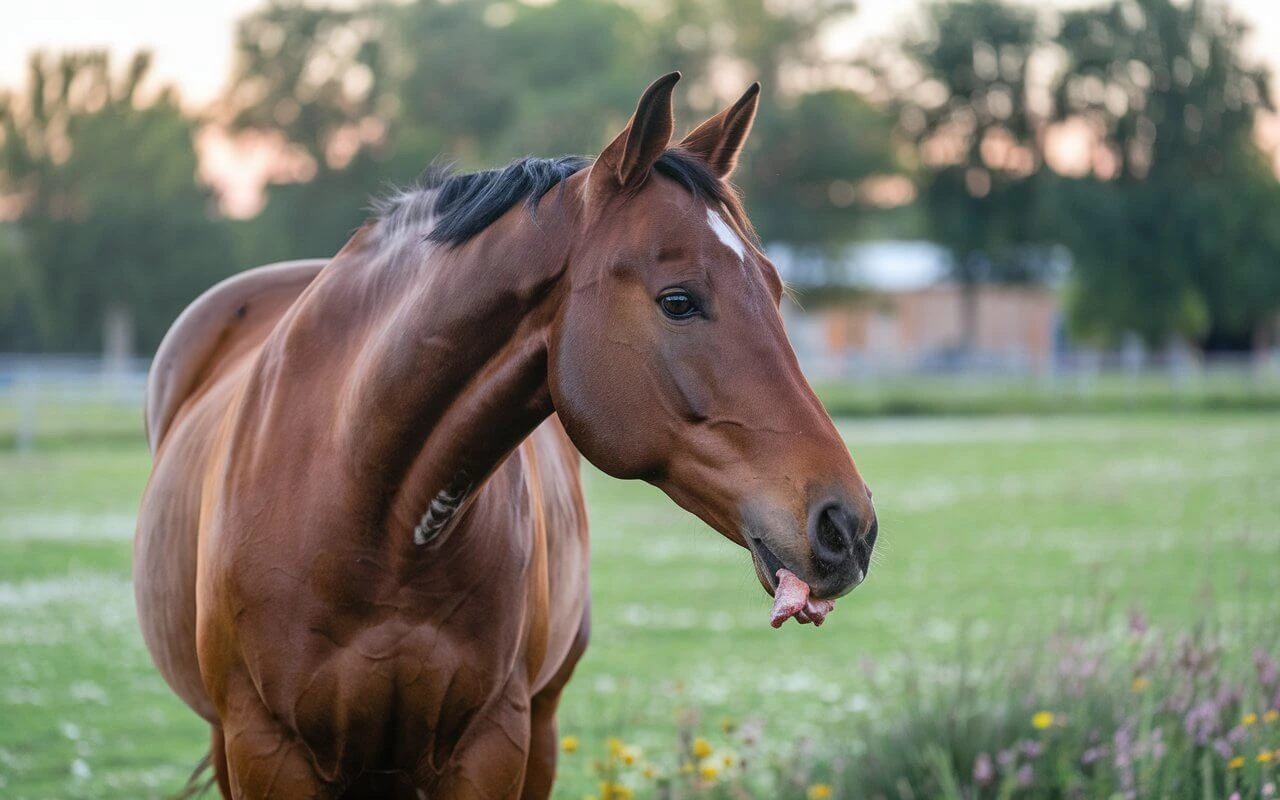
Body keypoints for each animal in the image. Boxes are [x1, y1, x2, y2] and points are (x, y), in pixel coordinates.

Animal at [137, 71, 880, 793]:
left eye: (775, 289)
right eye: (678, 300)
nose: (848, 527)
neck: (367, 510)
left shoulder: (494, 743)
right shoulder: (264, 747)